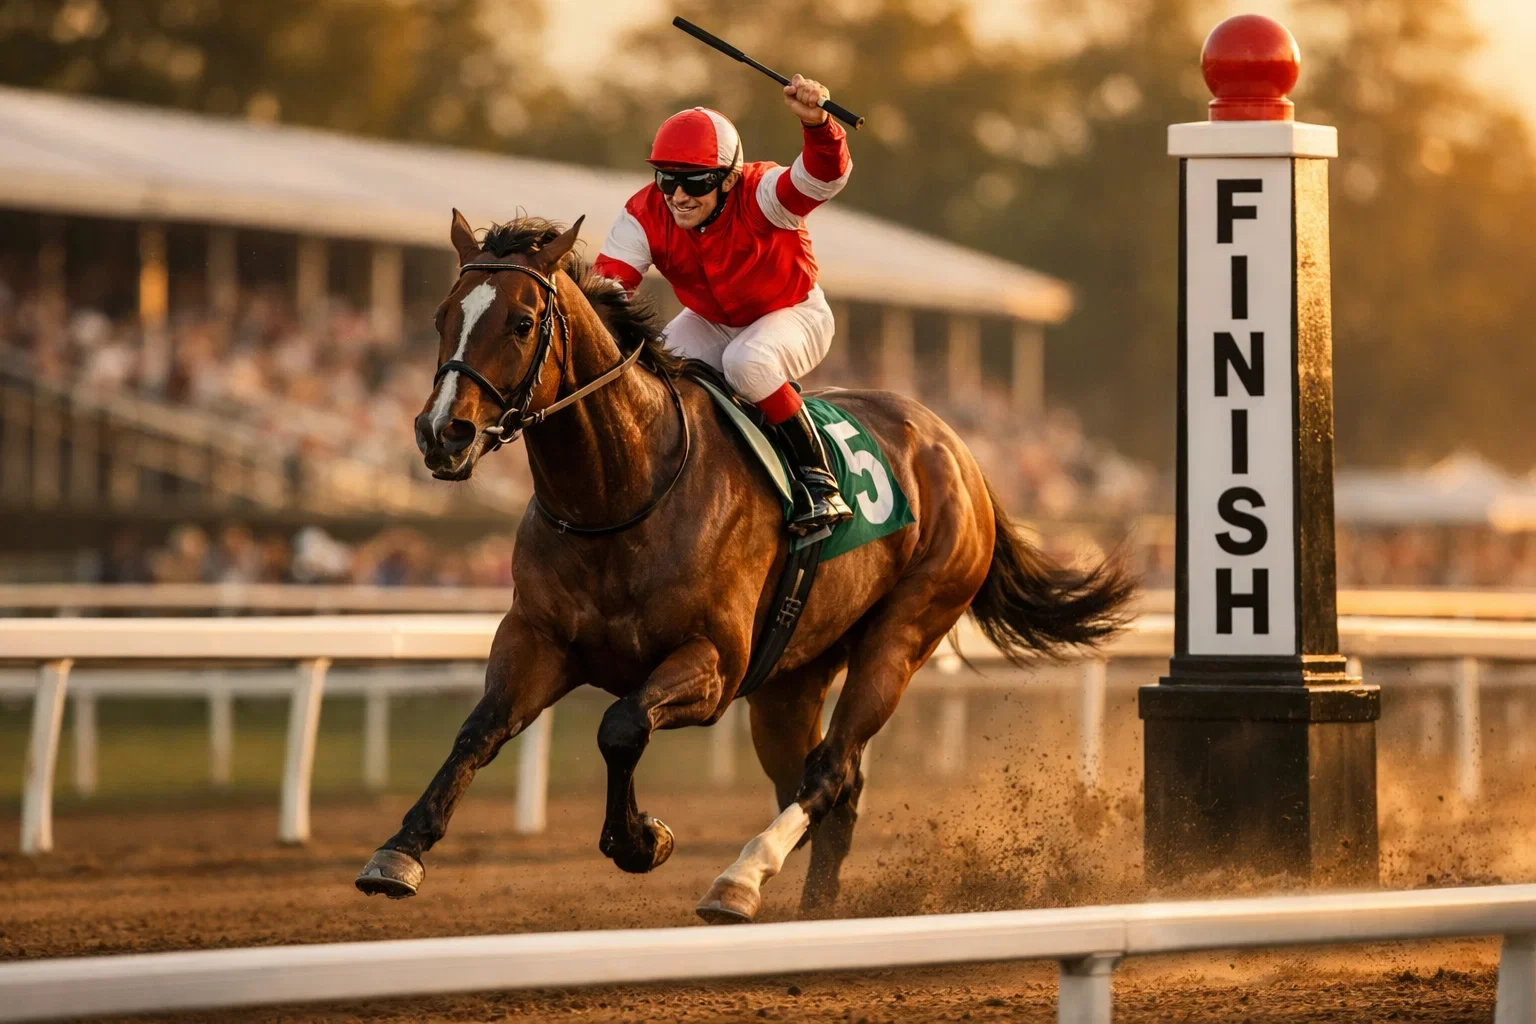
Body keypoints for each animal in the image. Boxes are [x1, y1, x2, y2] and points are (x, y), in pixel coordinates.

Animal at [355, 211, 1134, 923]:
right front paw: (400, 850)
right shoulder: (539, 640)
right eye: (442, 316)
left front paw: (642, 839)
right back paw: (816, 908)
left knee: (830, 770)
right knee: (828, 785)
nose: (442, 433)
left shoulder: (715, 663)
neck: (622, 493)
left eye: (521, 323)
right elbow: (480, 729)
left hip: (904, 633)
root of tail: (958, 449)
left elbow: (620, 726)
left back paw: (741, 878)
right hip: (791, 679)